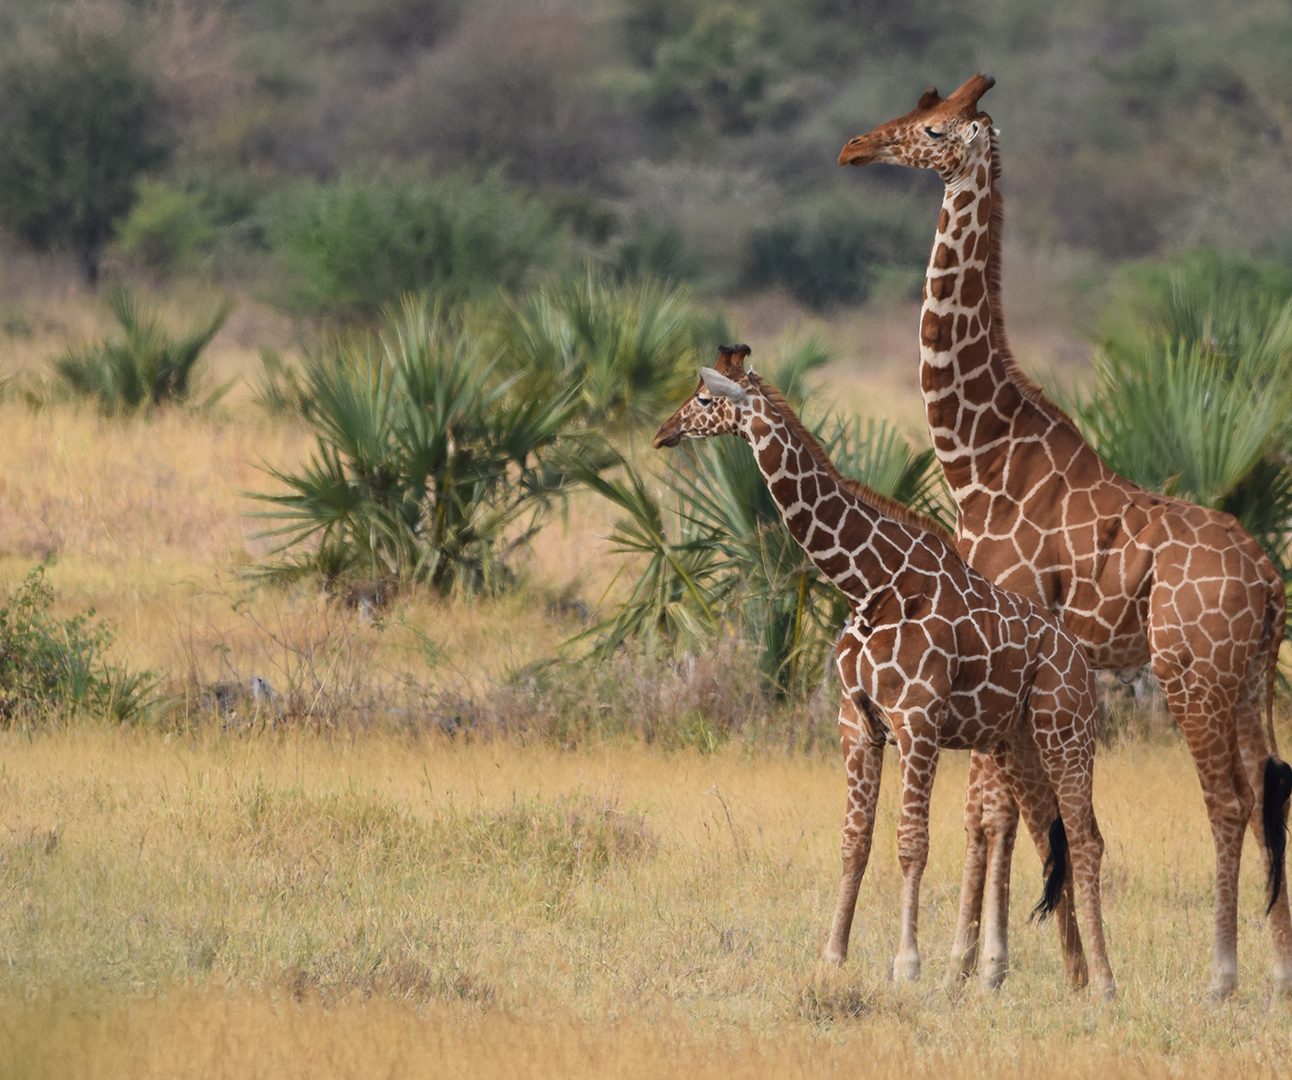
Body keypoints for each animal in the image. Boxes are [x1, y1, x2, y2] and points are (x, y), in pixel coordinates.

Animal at [651, 343, 1116, 997]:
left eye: (702, 398)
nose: (662, 432)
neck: (870, 585)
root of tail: (1080, 660)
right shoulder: (859, 725)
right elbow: (855, 841)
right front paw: (832, 956)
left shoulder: (917, 721)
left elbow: (911, 842)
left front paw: (907, 964)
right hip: (1013, 739)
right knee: (1040, 833)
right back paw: (1057, 975)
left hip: (1067, 729)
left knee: (1087, 837)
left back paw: (1104, 981)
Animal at [837, 73, 1292, 997]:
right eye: (912, 109)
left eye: (932, 128)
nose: (856, 148)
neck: (978, 454)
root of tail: (1269, 582)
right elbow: (1006, 807)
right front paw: (1026, 962)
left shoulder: (998, 636)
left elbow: (988, 809)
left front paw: (972, 965)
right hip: (1249, 677)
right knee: (1268, 790)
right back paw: (1278, 968)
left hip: (1191, 671)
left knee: (1226, 800)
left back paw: (1222, 973)